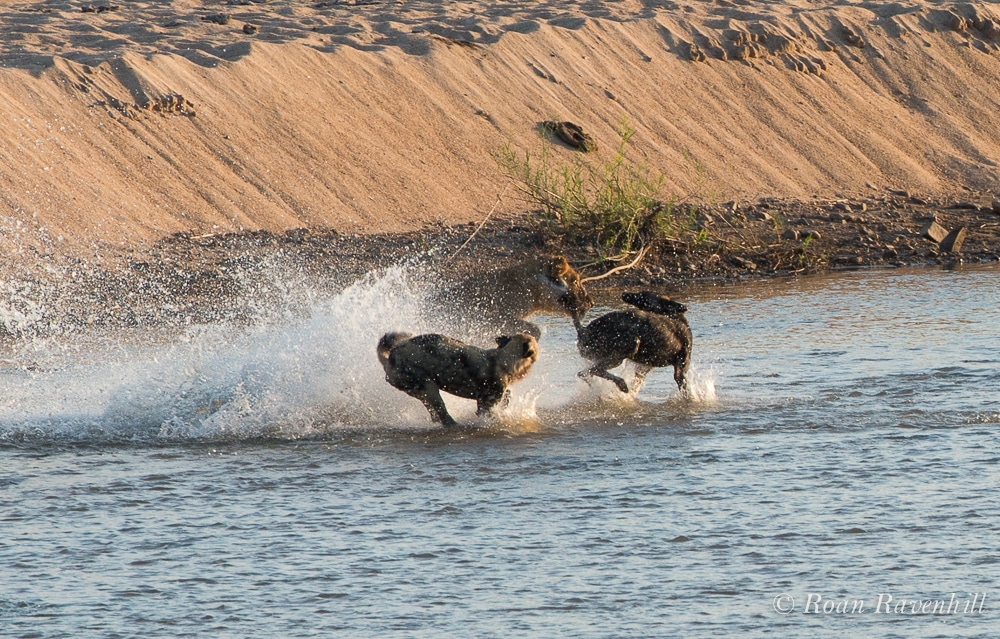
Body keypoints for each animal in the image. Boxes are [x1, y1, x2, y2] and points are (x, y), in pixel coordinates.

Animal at [376, 332, 540, 428]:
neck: (502, 359)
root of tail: (389, 358)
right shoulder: (486, 407)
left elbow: (508, 395)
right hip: (430, 389)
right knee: (443, 414)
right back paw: (456, 425)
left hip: (424, 393)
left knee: (435, 415)